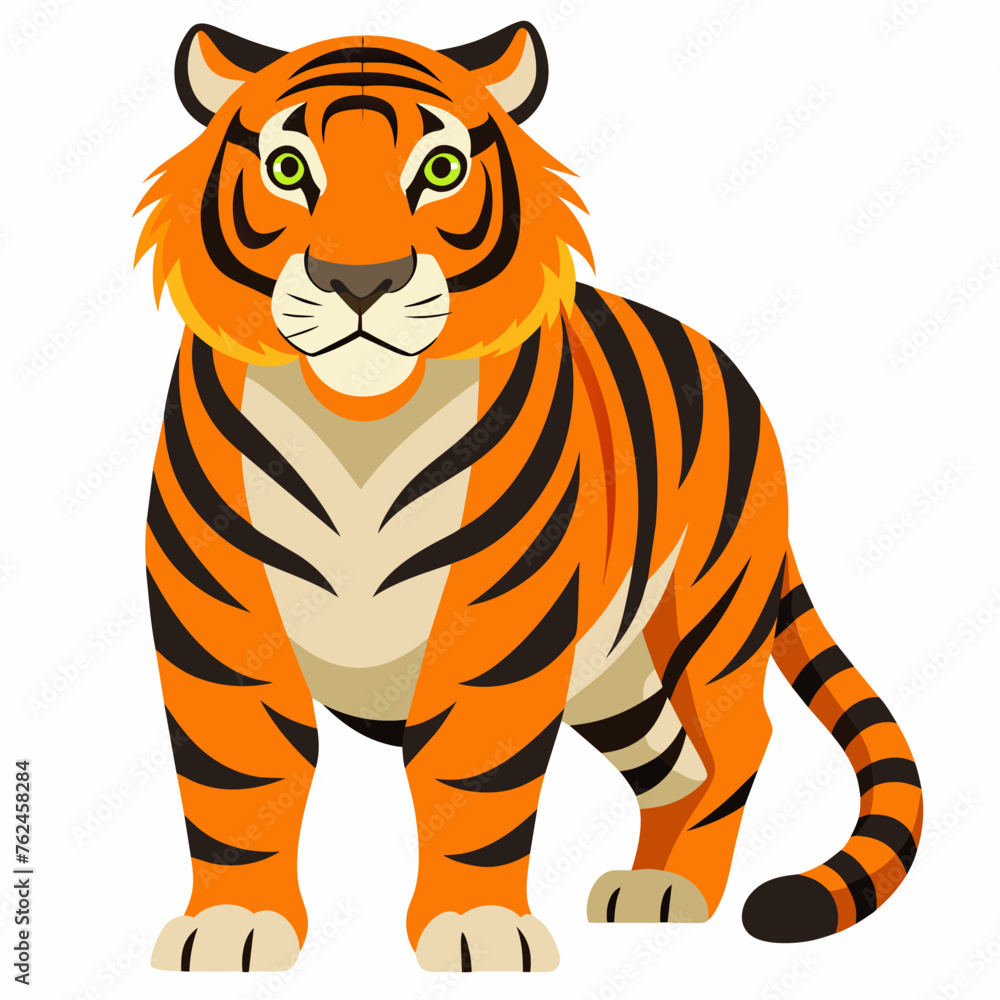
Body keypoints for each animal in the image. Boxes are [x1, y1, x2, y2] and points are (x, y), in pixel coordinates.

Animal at [137, 20, 923, 973]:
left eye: (440, 169)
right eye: (289, 169)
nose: (361, 280)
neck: (360, 420)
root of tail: (738, 379)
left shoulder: (498, 629)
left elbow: (475, 781)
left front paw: (474, 929)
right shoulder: (219, 622)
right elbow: (240, 776)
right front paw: (234, 926)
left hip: (707, 611)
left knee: (735, 742)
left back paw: (681, 889)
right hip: (618, 674)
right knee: (676, 762)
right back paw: (647, 888)